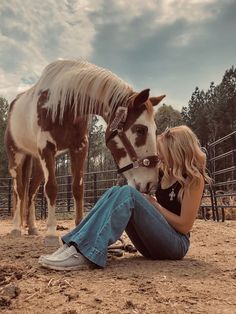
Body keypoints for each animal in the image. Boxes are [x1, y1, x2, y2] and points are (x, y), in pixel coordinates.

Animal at [4, 59, 166, 245]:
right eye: (140, 129)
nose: (151, 184)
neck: (62, 102)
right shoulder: (47, 148)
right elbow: (51, 188)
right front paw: (51, 233)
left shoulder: (80, 147)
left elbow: (78, 188)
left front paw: (78, 226)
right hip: (16, 157)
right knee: (19, 190)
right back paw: (16, 228)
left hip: (37, 161)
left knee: (30, 192)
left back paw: (32, 228)